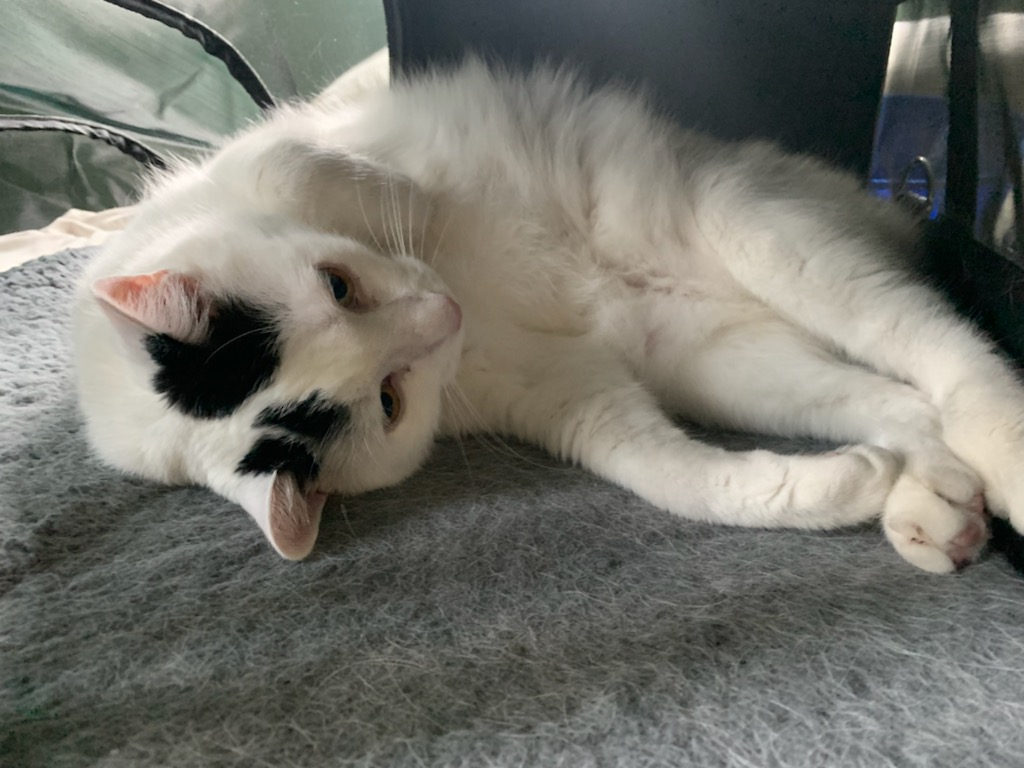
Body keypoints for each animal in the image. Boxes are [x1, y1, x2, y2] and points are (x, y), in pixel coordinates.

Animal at [73, 58, 1024, 572]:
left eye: (338, 286)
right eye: (390, 399)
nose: (445, 309)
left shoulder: (278, 159)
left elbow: (311, 166)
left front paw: (406, 193)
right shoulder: (571, 397)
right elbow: (674, 478)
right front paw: (839, 488)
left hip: (764, 234)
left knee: (948, 352)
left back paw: (1002, 454)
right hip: (727, 364)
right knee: (904, 403)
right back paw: (934, 503)